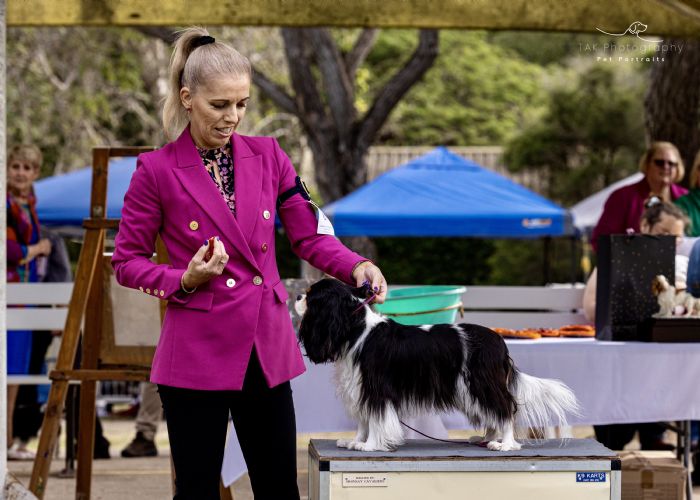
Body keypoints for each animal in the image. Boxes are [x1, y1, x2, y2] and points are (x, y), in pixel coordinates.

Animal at [296, 280, 580, 452]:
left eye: (310, 296)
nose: (297, 295)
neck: (356, 330)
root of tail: (499, 341)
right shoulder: (360, 387)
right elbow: (363, 420)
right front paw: (355, 442)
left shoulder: (376, 389)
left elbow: (375, 418)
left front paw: (370, 445)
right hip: (471, 389)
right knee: (493, 413)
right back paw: (488, 437)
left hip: (480, 383)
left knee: (504, 409)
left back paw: (504, 444)